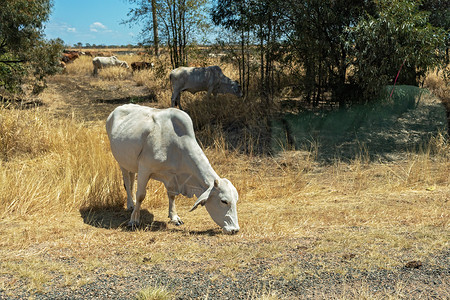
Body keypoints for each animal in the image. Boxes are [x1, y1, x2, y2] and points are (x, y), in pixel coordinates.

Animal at [106, 103, 241, 234]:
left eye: (236, 200)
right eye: (224, 201)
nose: (234, 229)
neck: (176, 144)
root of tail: (118, 109)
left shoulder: (171, 176)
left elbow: (171, 195)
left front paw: (174, 217)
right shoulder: (145, 168)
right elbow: (141, 195)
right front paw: (134, 220)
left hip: (131, 164)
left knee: (131, 179)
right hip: (121, 162)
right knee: (127, 181)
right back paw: (130, 204)